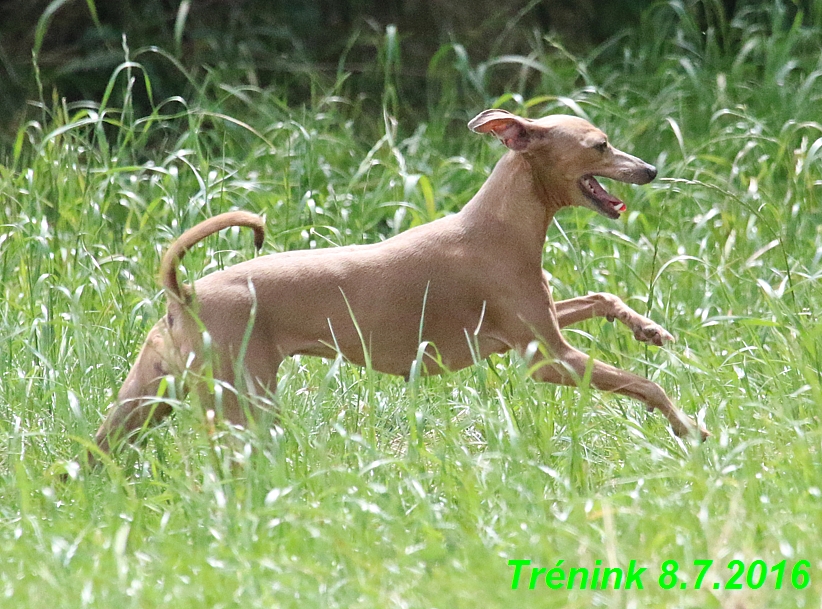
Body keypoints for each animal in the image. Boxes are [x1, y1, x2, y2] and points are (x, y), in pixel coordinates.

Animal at [93, 109, 712, 456]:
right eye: (600, 145)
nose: (652, 170)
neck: (497, 223)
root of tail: (184, 295)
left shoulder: (537, 324)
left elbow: (601, 298)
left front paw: (648, 328)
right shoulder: (548, 357)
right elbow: (646, 385)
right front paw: (688, 426)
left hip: (143, 401)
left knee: (92, 456)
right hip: (243, 406)